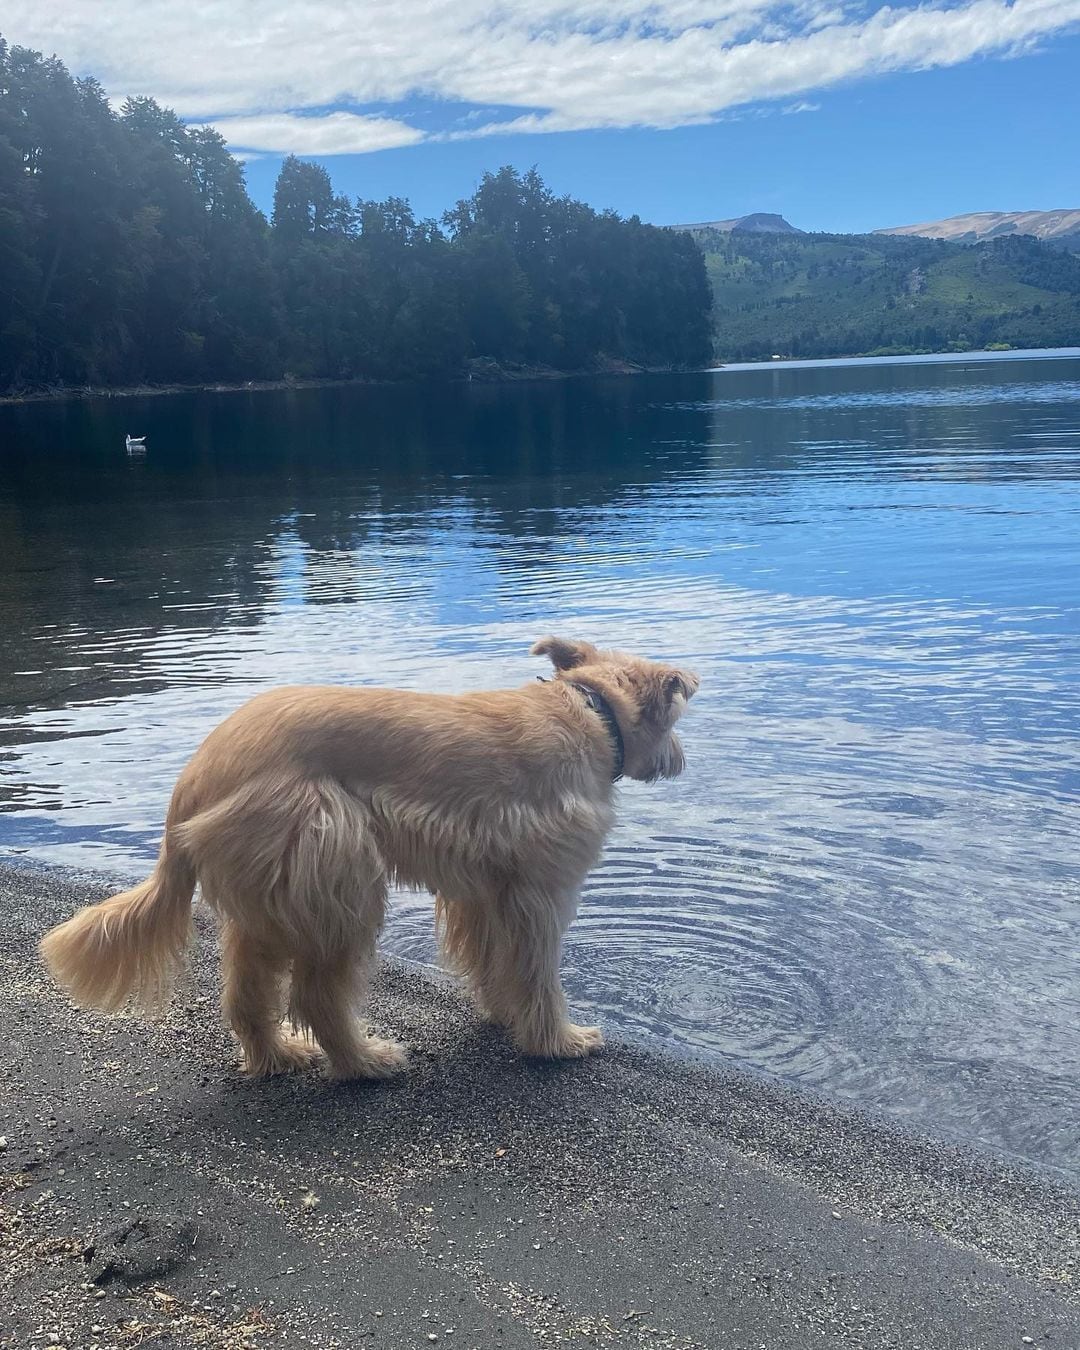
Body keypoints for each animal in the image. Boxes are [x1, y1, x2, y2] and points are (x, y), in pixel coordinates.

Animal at [37, 637, 702, 1080]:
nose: (680, 760)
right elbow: (537, 973)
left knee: (248, 994)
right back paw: (365, 1062)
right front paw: (556, 1040)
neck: (588, 713)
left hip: (269, 902)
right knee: (319, 996)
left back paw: (279, 1054)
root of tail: (193, 781)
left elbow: (495, 962)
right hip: (338, 882)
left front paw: (501, 1014)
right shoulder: (540, 892)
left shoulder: (484, 892)